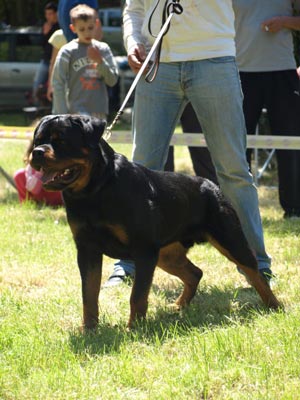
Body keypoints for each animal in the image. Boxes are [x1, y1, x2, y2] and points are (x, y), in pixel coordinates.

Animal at [29, 114, 280, 330]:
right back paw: (179, 306)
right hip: (167, 254)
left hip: (229, 238)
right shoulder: (87, 249)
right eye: (37, 140)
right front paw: (89, 329)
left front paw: (134, 329)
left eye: (61, 140)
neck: (95, 191)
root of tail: (211, 185)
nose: (37, 153)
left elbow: (137, 296)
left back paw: (274, 306)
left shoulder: (143, 250)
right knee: (195, 273)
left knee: (255, 273)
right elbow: (89, 294)